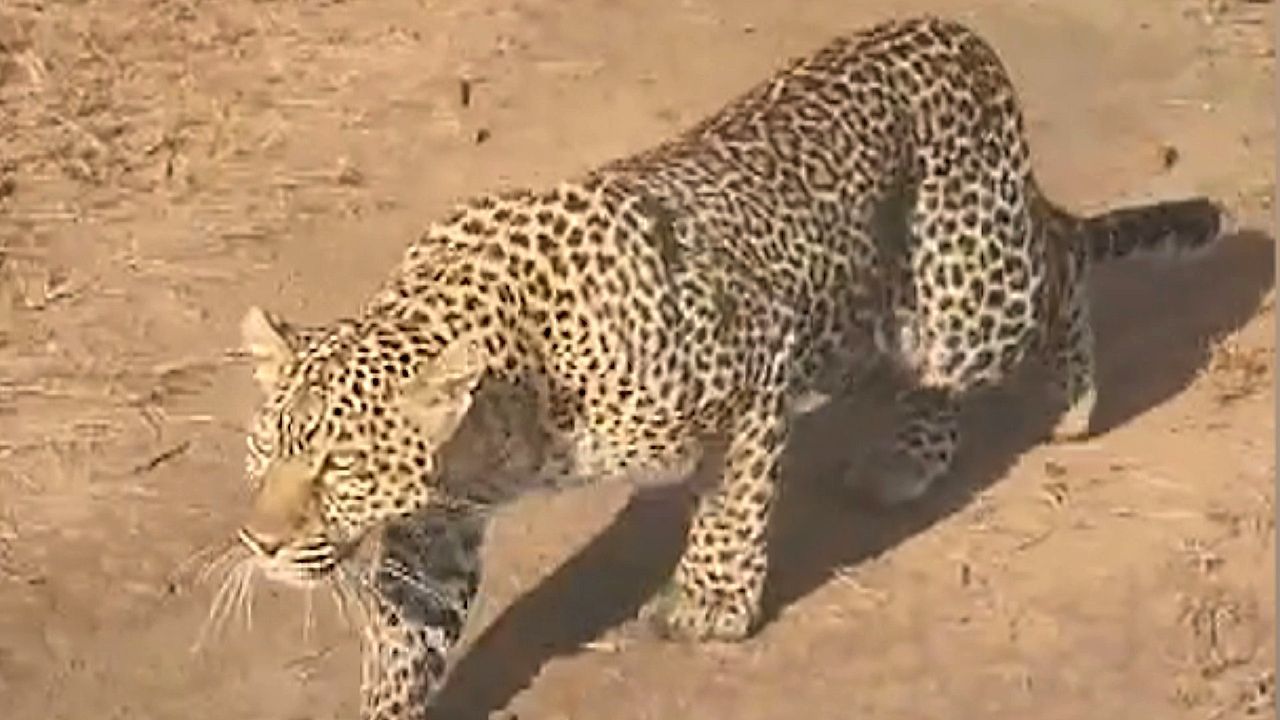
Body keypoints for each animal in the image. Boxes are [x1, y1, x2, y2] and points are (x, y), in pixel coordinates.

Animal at [228, 14, 1229, 717]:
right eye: (263, 453)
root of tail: (960, 37)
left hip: (971, 299)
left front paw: (710, 604)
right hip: (878, 320)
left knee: (1060, 260)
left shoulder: (753, 371)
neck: (497, 413)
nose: (260, 543)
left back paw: (1075, 397)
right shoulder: (435, 525)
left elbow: (732, 505)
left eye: (339, 467)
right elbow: (410, 633)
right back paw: (905, 460)